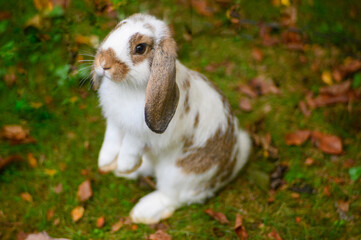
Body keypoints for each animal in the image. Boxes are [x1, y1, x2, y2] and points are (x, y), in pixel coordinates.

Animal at [92, 12, 250, 223]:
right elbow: (111, 141)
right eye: (118, 27)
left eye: (140, 48)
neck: (129, 86)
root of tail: (231, 166)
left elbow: (130, 148)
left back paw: (143, 210)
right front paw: (105, 162)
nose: (103, 63)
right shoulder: (115, 123)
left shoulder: (140, 134)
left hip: (176, 174)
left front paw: (124, 166)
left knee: (174, 197)